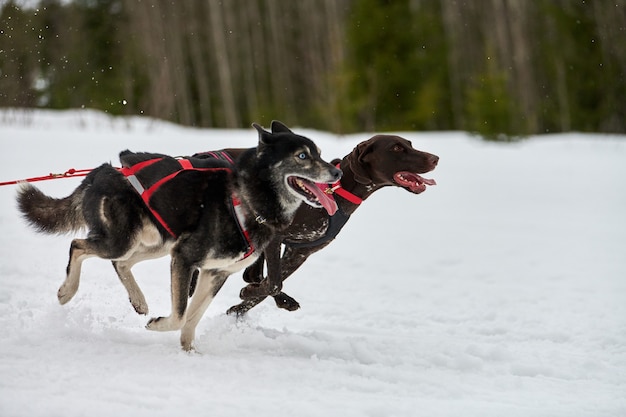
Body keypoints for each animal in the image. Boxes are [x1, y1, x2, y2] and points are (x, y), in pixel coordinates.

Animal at [17, 122, 342, 350]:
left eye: (320, 154)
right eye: (302, 156)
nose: (337, 174)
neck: (248, 200)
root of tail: (102, 171)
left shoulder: (214, 273)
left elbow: (192, 318)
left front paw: (189, 353)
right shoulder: (186, 259)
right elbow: (181, 315)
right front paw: (158, 326)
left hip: (160, 243)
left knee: (121, 263)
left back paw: (139, 301)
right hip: (123, 241)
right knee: (79, 246)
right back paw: (67, 291)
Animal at [191, 136, 438, 316]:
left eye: (410, 144)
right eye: (396, 148)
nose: (435, 158)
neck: (335, 191)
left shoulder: (300, 252)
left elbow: (270, 282)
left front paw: (240, 308)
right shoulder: (276, 239)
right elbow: (273, 283)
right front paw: (250, 295)